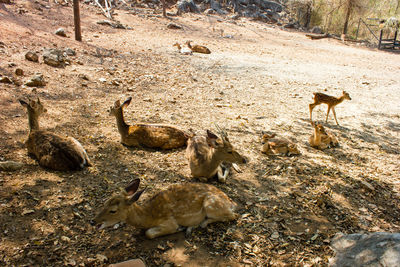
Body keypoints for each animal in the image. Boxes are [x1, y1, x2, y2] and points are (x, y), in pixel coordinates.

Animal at [90, 179, 238, 240]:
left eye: (113, 210)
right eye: (105, 202)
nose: (93, 221)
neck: (148, 217)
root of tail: (232, 202)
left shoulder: (169, 222)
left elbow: (149, 233)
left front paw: (179, 228)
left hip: (210, 204)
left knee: (232, 216)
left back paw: (197, 225)